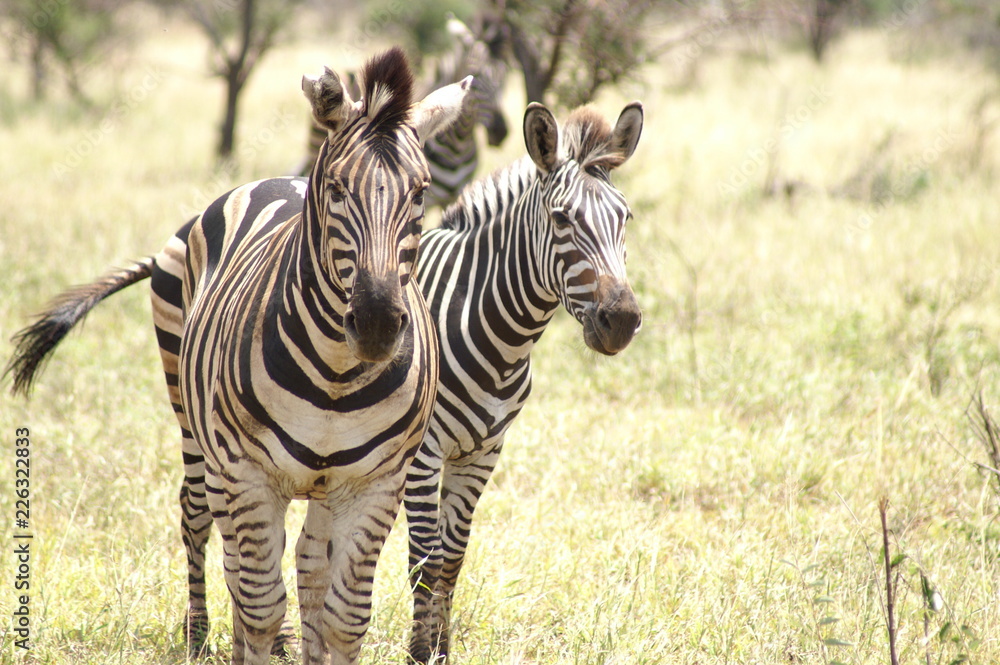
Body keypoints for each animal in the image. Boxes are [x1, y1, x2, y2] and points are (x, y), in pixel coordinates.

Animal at [6, 48, 470, 665]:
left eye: (420, 193)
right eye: (337, 190)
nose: (375, 324)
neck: (336, 379)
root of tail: (275, 179)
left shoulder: (375, 483)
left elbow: (343, 616)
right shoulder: (247, 474)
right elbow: (261, 605)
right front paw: (253, 643)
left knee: (298, 562)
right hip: (195, 427)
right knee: (202, 522)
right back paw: (200, 637)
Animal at [405, 100, 644, 664]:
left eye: (624, 218)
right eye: (561, 219)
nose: (622, 321)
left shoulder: (484, 451)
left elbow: (452, 558)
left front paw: (442, 651)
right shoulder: (425, 453)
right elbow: (425, 563)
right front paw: (420, 653)